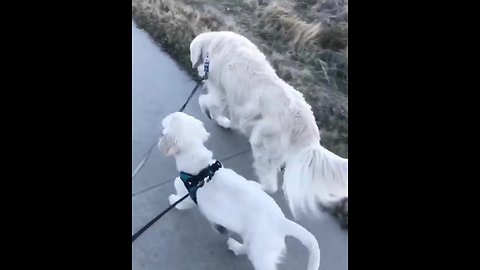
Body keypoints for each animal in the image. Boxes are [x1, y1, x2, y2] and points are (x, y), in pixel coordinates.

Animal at [159, 111, 320, 270]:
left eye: (167, 122)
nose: (164, 119)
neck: (200, 168)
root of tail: (282, 222)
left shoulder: (186, 195)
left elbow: (180, 201)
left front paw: (173, 200)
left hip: (260, 250)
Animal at [188, 31, 348, 217]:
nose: (199, 70)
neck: (216, 43)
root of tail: (308, 134)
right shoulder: (239, 106)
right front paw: (224, 121)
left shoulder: (222, 93)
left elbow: (209, 102)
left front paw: (208, 110)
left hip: (263, 147)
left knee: (271, 186)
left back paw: (257, 186)